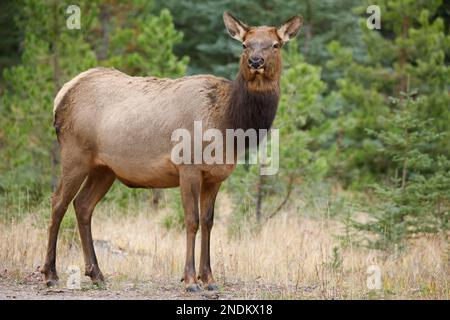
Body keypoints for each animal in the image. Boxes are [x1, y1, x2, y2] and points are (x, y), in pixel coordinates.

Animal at [43, 11, 302, 292]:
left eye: (275, 45)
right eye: (245, 45)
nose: (256, 61)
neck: (229, 123)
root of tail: (61, 95)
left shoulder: (215, 176)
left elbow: (209, 221)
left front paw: (209, 279)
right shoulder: (188, 167)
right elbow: (192, 220)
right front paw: (190, 280)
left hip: (104, 168)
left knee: (82, 205)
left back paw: (97, 273)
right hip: (75, 154)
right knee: (58, 202)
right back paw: (50, 273)